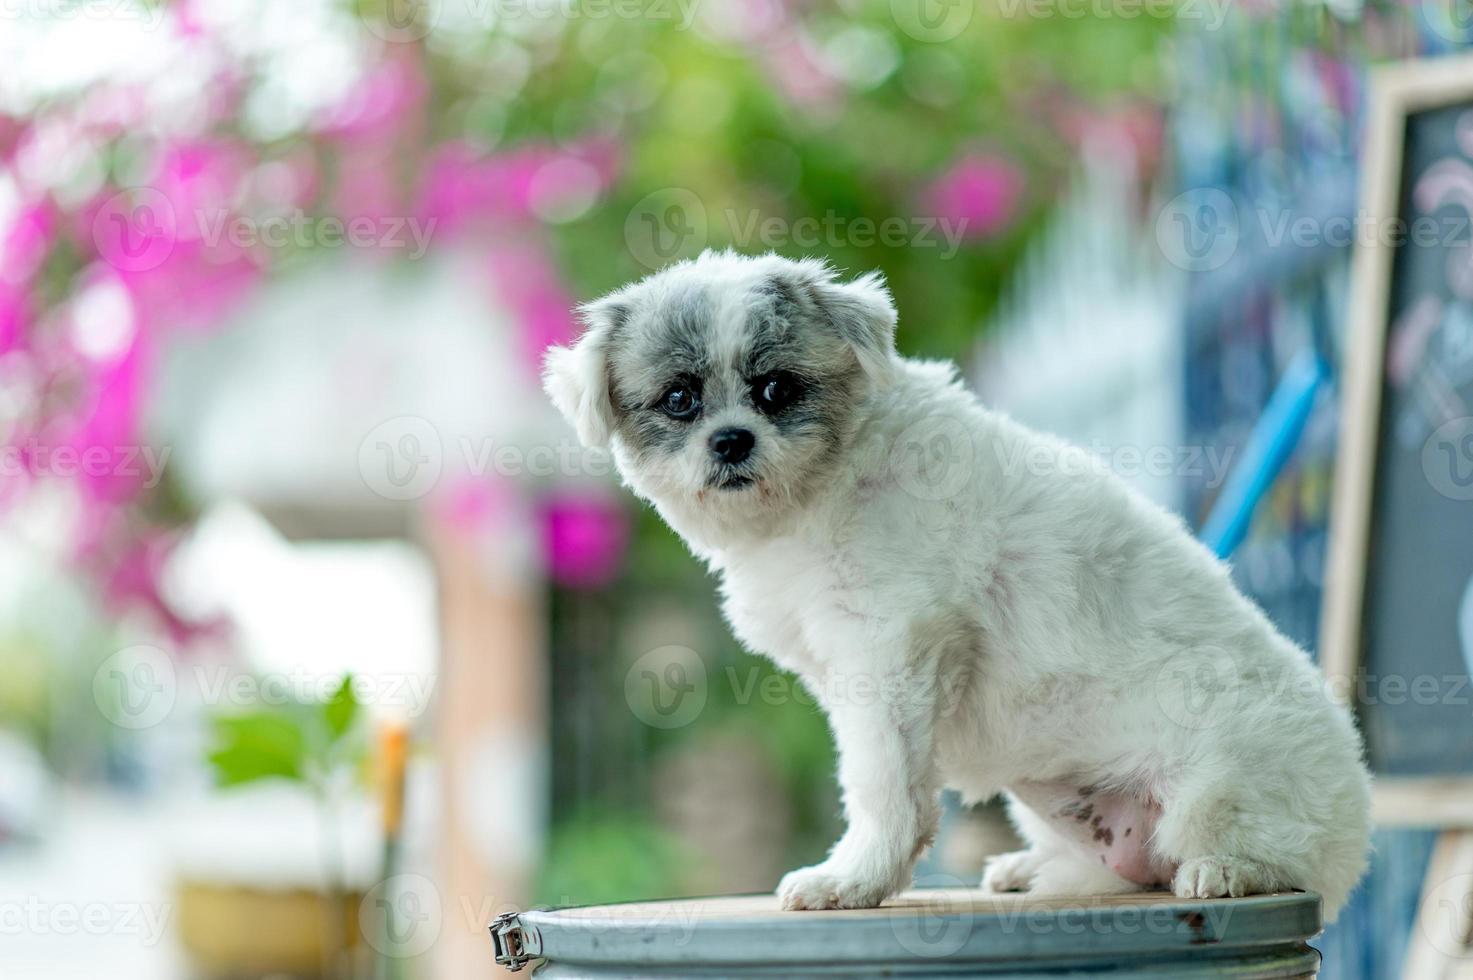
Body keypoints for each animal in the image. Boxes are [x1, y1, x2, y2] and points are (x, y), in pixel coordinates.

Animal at [547, 246, 1372, 919]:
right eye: (678, 399)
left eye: (775, 390)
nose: (729, 440)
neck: (827, 486)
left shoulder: (890, 651)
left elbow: (881, 786)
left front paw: (855, 878)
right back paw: (1033, 868)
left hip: (1225, 785)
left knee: (1259, 856)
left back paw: (1229, 868)